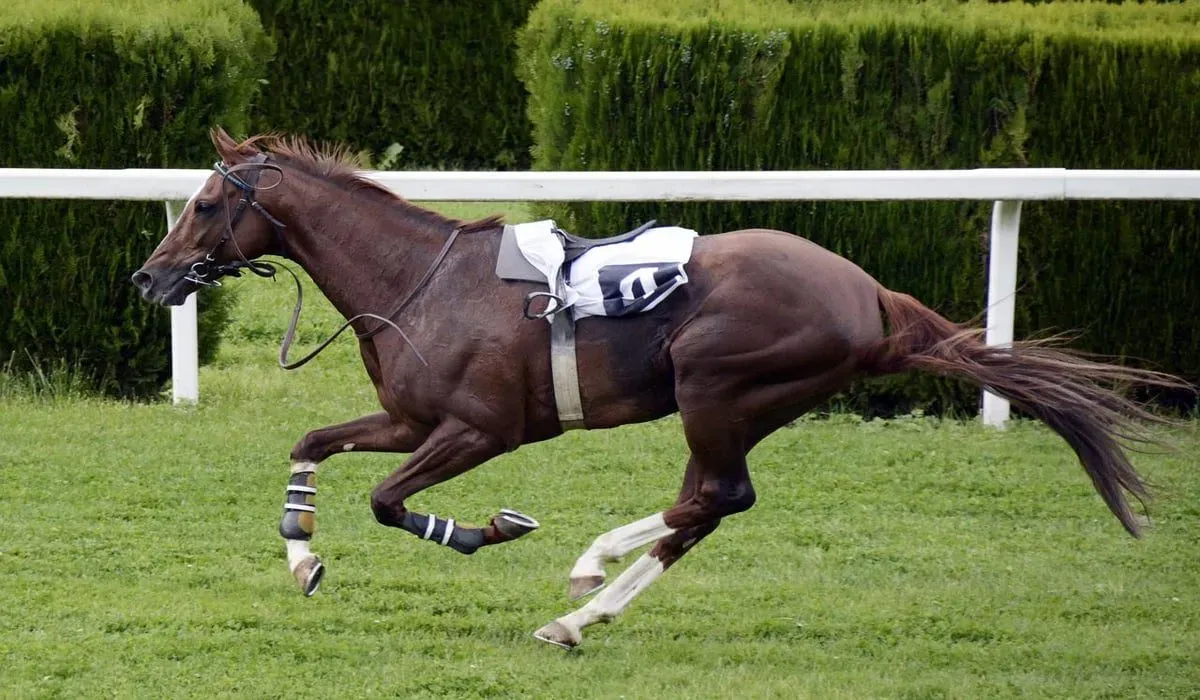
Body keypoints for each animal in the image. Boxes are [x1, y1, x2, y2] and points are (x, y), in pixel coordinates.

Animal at [136, 127, 1185, 653]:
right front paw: (302, 555)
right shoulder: (409, 417)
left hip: (715, 385)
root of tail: (870, 295)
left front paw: (488, 529)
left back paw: (588, 571)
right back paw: (581, 611)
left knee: (715, 495)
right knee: (706, 507)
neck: (417, 281)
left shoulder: (481, 428)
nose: (150, 278)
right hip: (740, 404)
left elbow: (391, 502)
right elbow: (311, 445)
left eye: (207, 202)